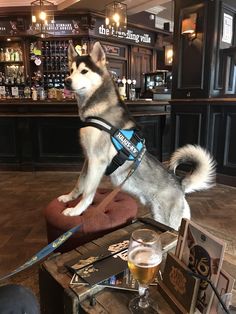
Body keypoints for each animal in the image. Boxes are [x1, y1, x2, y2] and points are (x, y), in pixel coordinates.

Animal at [57, 41, 216, 229]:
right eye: (70, 70)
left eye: (84, 71)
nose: (66, 81)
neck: (98, 109)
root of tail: (179, 183)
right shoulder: (88, 159)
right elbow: (80, 183)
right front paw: (69, 198)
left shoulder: (97, 161)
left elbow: (88, 191)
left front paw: (77, 210)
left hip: (165, 219)